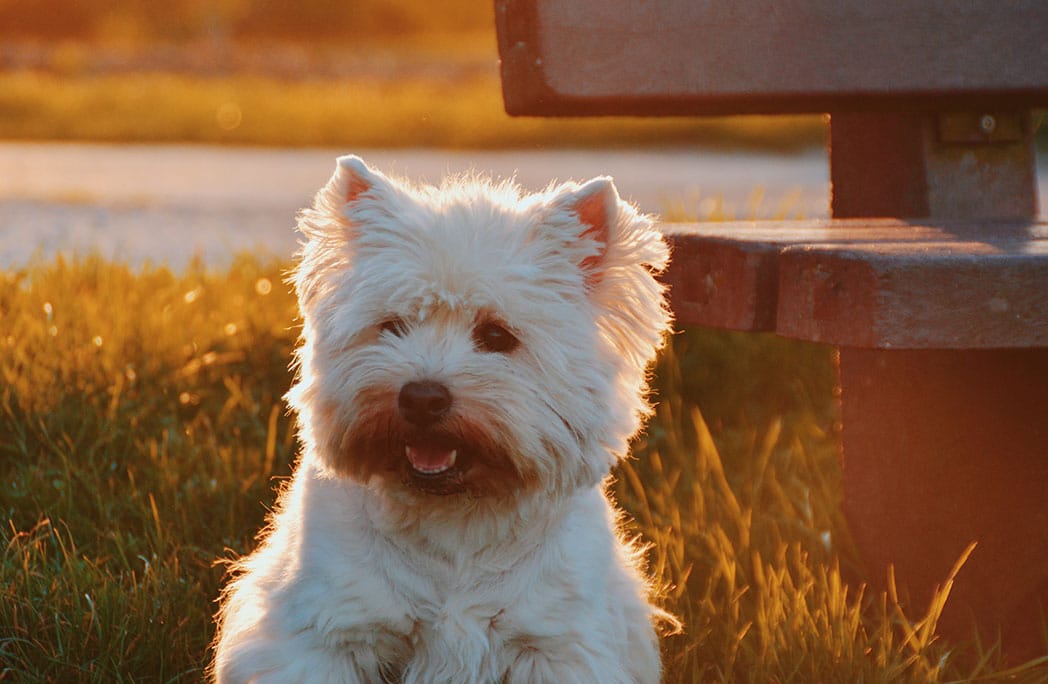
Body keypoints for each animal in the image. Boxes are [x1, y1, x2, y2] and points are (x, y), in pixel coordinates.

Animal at [208, 156, 674, 682]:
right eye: (392, 326)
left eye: (497, 335)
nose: (421, 398)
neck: (455, 520)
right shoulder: (326, 632)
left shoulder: (557, 643)